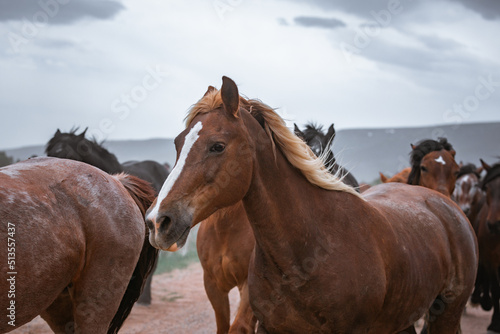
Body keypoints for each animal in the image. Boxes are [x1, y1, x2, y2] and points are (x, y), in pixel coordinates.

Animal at [144, 77, 476, 332]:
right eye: (177, 143)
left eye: (217, 146)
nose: (158, 221)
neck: (309, 250)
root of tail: (445, 204)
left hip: (446, 314)